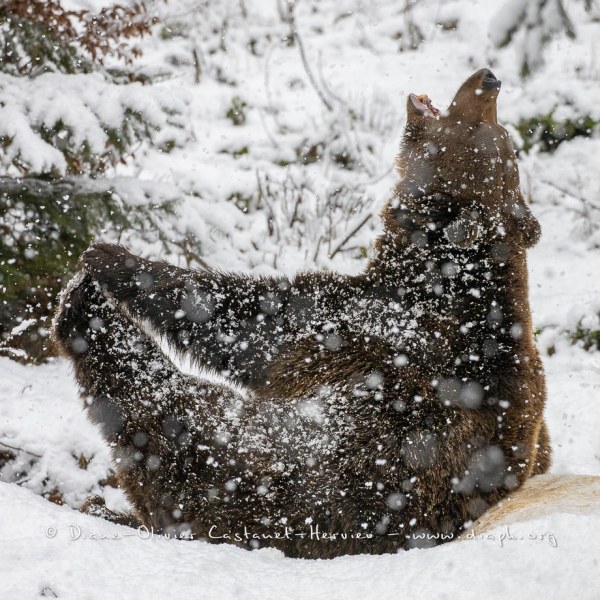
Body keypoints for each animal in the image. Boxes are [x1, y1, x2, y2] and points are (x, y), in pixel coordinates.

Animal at [54, 69, 552, 556]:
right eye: (504, 135)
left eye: (484, 132)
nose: (490, 79)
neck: (438, 268)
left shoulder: (369, 327)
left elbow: (256, 316)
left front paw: (114, 259)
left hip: (292, 467)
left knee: (167, 414)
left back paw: (86, 315)